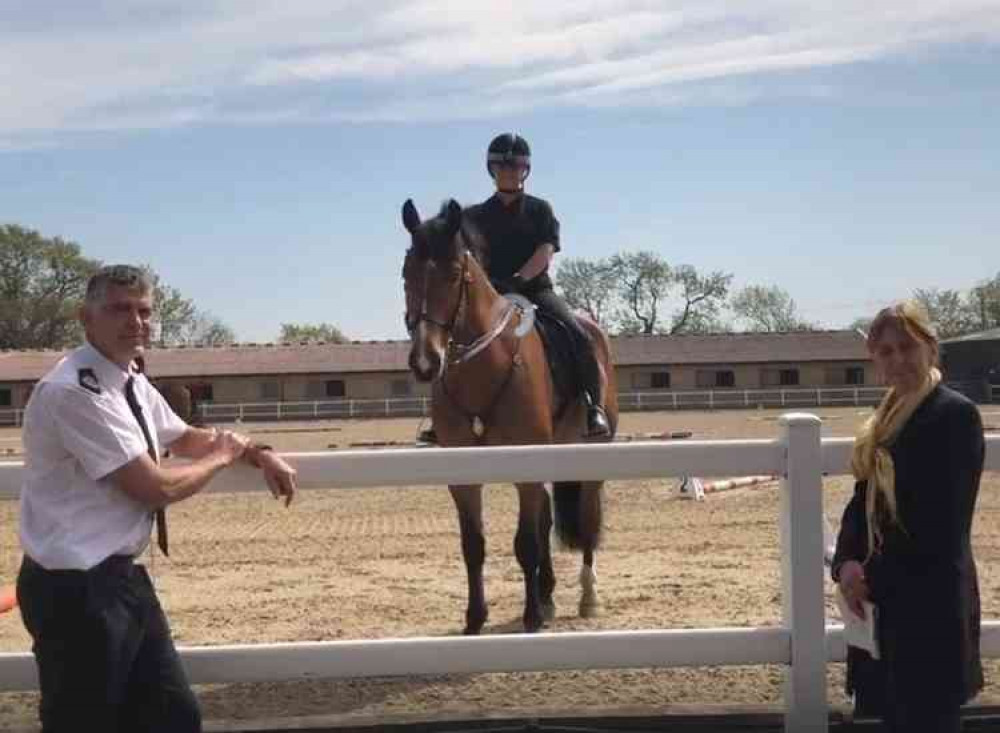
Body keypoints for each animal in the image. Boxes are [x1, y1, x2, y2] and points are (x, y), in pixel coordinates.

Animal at [398, 197, 616, 632]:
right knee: (547, 517)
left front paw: (531, 618)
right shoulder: (464, 476)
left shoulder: (525, 467)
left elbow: (526, 543)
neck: (487, 364)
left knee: (586, 518)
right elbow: (474, 545)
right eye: (405, 273)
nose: (426, 362)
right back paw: (548, 596)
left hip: (590, 455)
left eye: (453, 275)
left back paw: (587, 596)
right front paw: (475, 618)